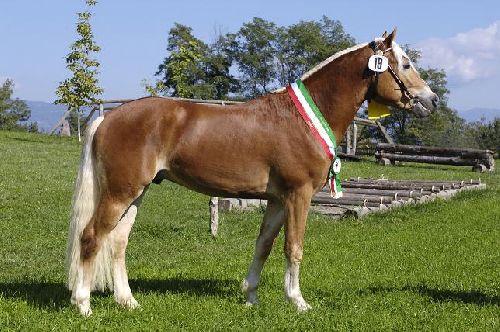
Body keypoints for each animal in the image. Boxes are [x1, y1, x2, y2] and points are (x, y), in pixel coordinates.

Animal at [66, 27, 438, 314]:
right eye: (405, 64)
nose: (431, 100)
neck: (301, 119)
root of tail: (109, 117)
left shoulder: (277, 200)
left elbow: (264, 245)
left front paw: (251, 297)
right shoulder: (299, 195)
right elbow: (293, 247)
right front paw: (298, 302)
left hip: (136, 192)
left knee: (118, 242)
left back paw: (128, 302)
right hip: (120, 192)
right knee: (91, 236)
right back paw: (83, 304)